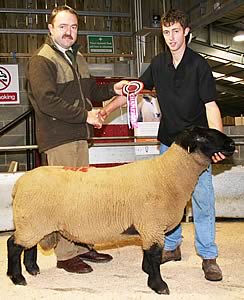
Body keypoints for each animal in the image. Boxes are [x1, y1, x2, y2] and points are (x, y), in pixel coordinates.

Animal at [7, 125, 234, 294]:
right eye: (202, 136)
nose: (232, 144)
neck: (167, 174)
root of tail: (20, 183)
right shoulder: (151, 225)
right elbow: (154, 254)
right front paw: (158, 285)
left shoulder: (149, 227)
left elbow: (149, 253)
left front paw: (147, 271)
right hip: (31, 220)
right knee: (14, 245)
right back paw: (17, 277)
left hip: (34, 221)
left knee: (29, 246)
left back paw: (33, 269)